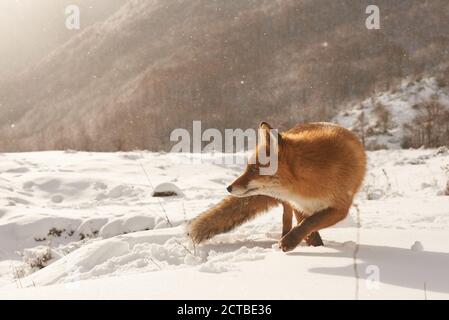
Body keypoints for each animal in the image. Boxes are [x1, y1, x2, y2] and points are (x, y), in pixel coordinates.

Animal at [187, 121, 366, 251]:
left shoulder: (340, 208)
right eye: (247, 168)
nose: (229, 188)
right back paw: (285, 236)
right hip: (287, 203)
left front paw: (297, 243)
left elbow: (310, 222)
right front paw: (309, 244)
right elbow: (305, 224)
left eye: (254, 169)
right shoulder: (297, 204)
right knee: (286, 219)